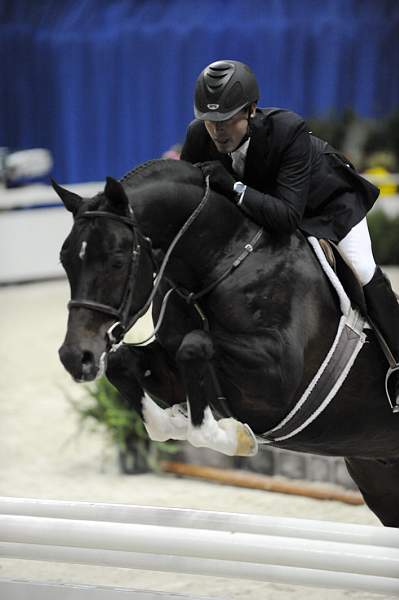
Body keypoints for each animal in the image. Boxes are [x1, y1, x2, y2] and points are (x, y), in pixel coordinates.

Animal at [54, 158, 399, 524]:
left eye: (117, 261)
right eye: (65, 260)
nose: (76, 356)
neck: (222, 259)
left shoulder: (277, 379)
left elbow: (195, 345)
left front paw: (234, 438)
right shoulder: (170, 370)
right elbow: (125, 364)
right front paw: (176, 419)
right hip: (379, 479)